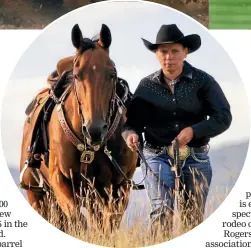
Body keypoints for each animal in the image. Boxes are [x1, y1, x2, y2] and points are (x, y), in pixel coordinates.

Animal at [18, 23, 138, 231]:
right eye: (77, 75)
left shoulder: (120, 187)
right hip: (38, 196)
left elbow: (108, 226)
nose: (95, 130)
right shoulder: (61, 181)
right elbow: (77, 221)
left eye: (112, 74)